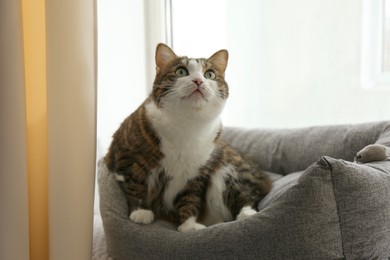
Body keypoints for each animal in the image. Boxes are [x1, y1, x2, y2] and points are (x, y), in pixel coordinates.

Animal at [105, 43, 272, 232]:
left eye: (210, 74)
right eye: (181, 71)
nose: (198, 80)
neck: (187, 124)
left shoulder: (198, 171)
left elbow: (190, 196)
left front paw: (189, 225)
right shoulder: (127, 156)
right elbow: (134, 183)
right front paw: (140, 211)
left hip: (229, 166)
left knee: (247, 193)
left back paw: (247, 214)